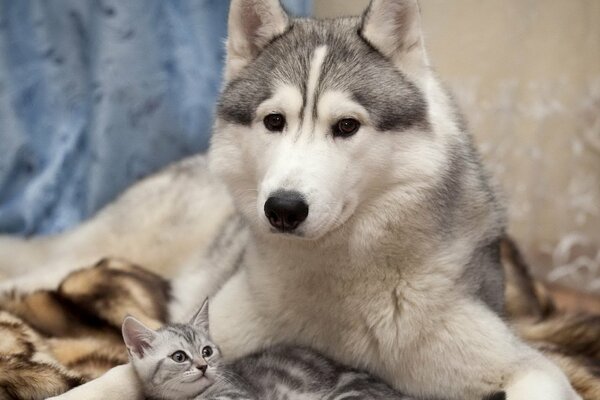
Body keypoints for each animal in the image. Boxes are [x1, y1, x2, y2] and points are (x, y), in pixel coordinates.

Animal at [1, 0, 580, 400]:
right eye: (274, 121)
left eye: (346, 126)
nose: (282, 208)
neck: (340, 278)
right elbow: (106, 382)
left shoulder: (528, 366)